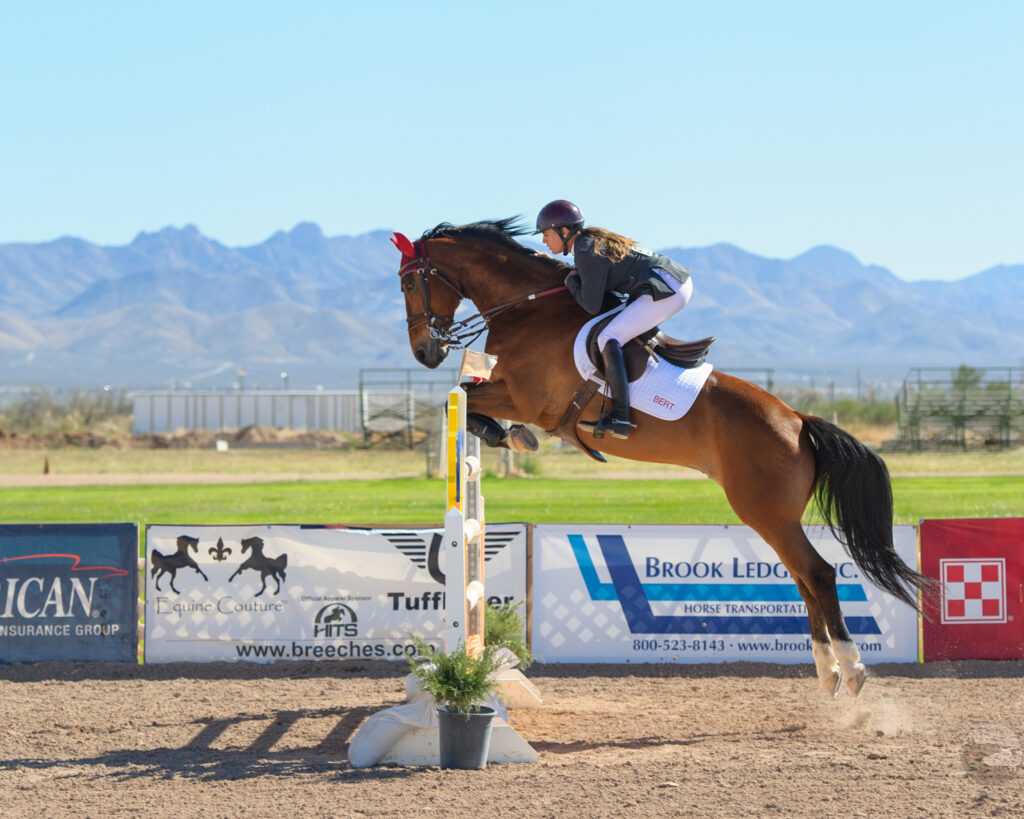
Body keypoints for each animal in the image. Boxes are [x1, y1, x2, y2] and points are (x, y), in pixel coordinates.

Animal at [392, 218, 934, 697]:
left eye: (409, 282)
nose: (424, 353)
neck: (525, 310)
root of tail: (798, 420)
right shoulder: (510, 392)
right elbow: (465, 396)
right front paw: (506, 435)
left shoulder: (527, 398)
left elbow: (462, 397)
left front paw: (506, 434)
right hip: (775, 516)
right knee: (804, 580)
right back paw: (828, 674)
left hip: (764, 511)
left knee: (818, 574)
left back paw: (852, 669)